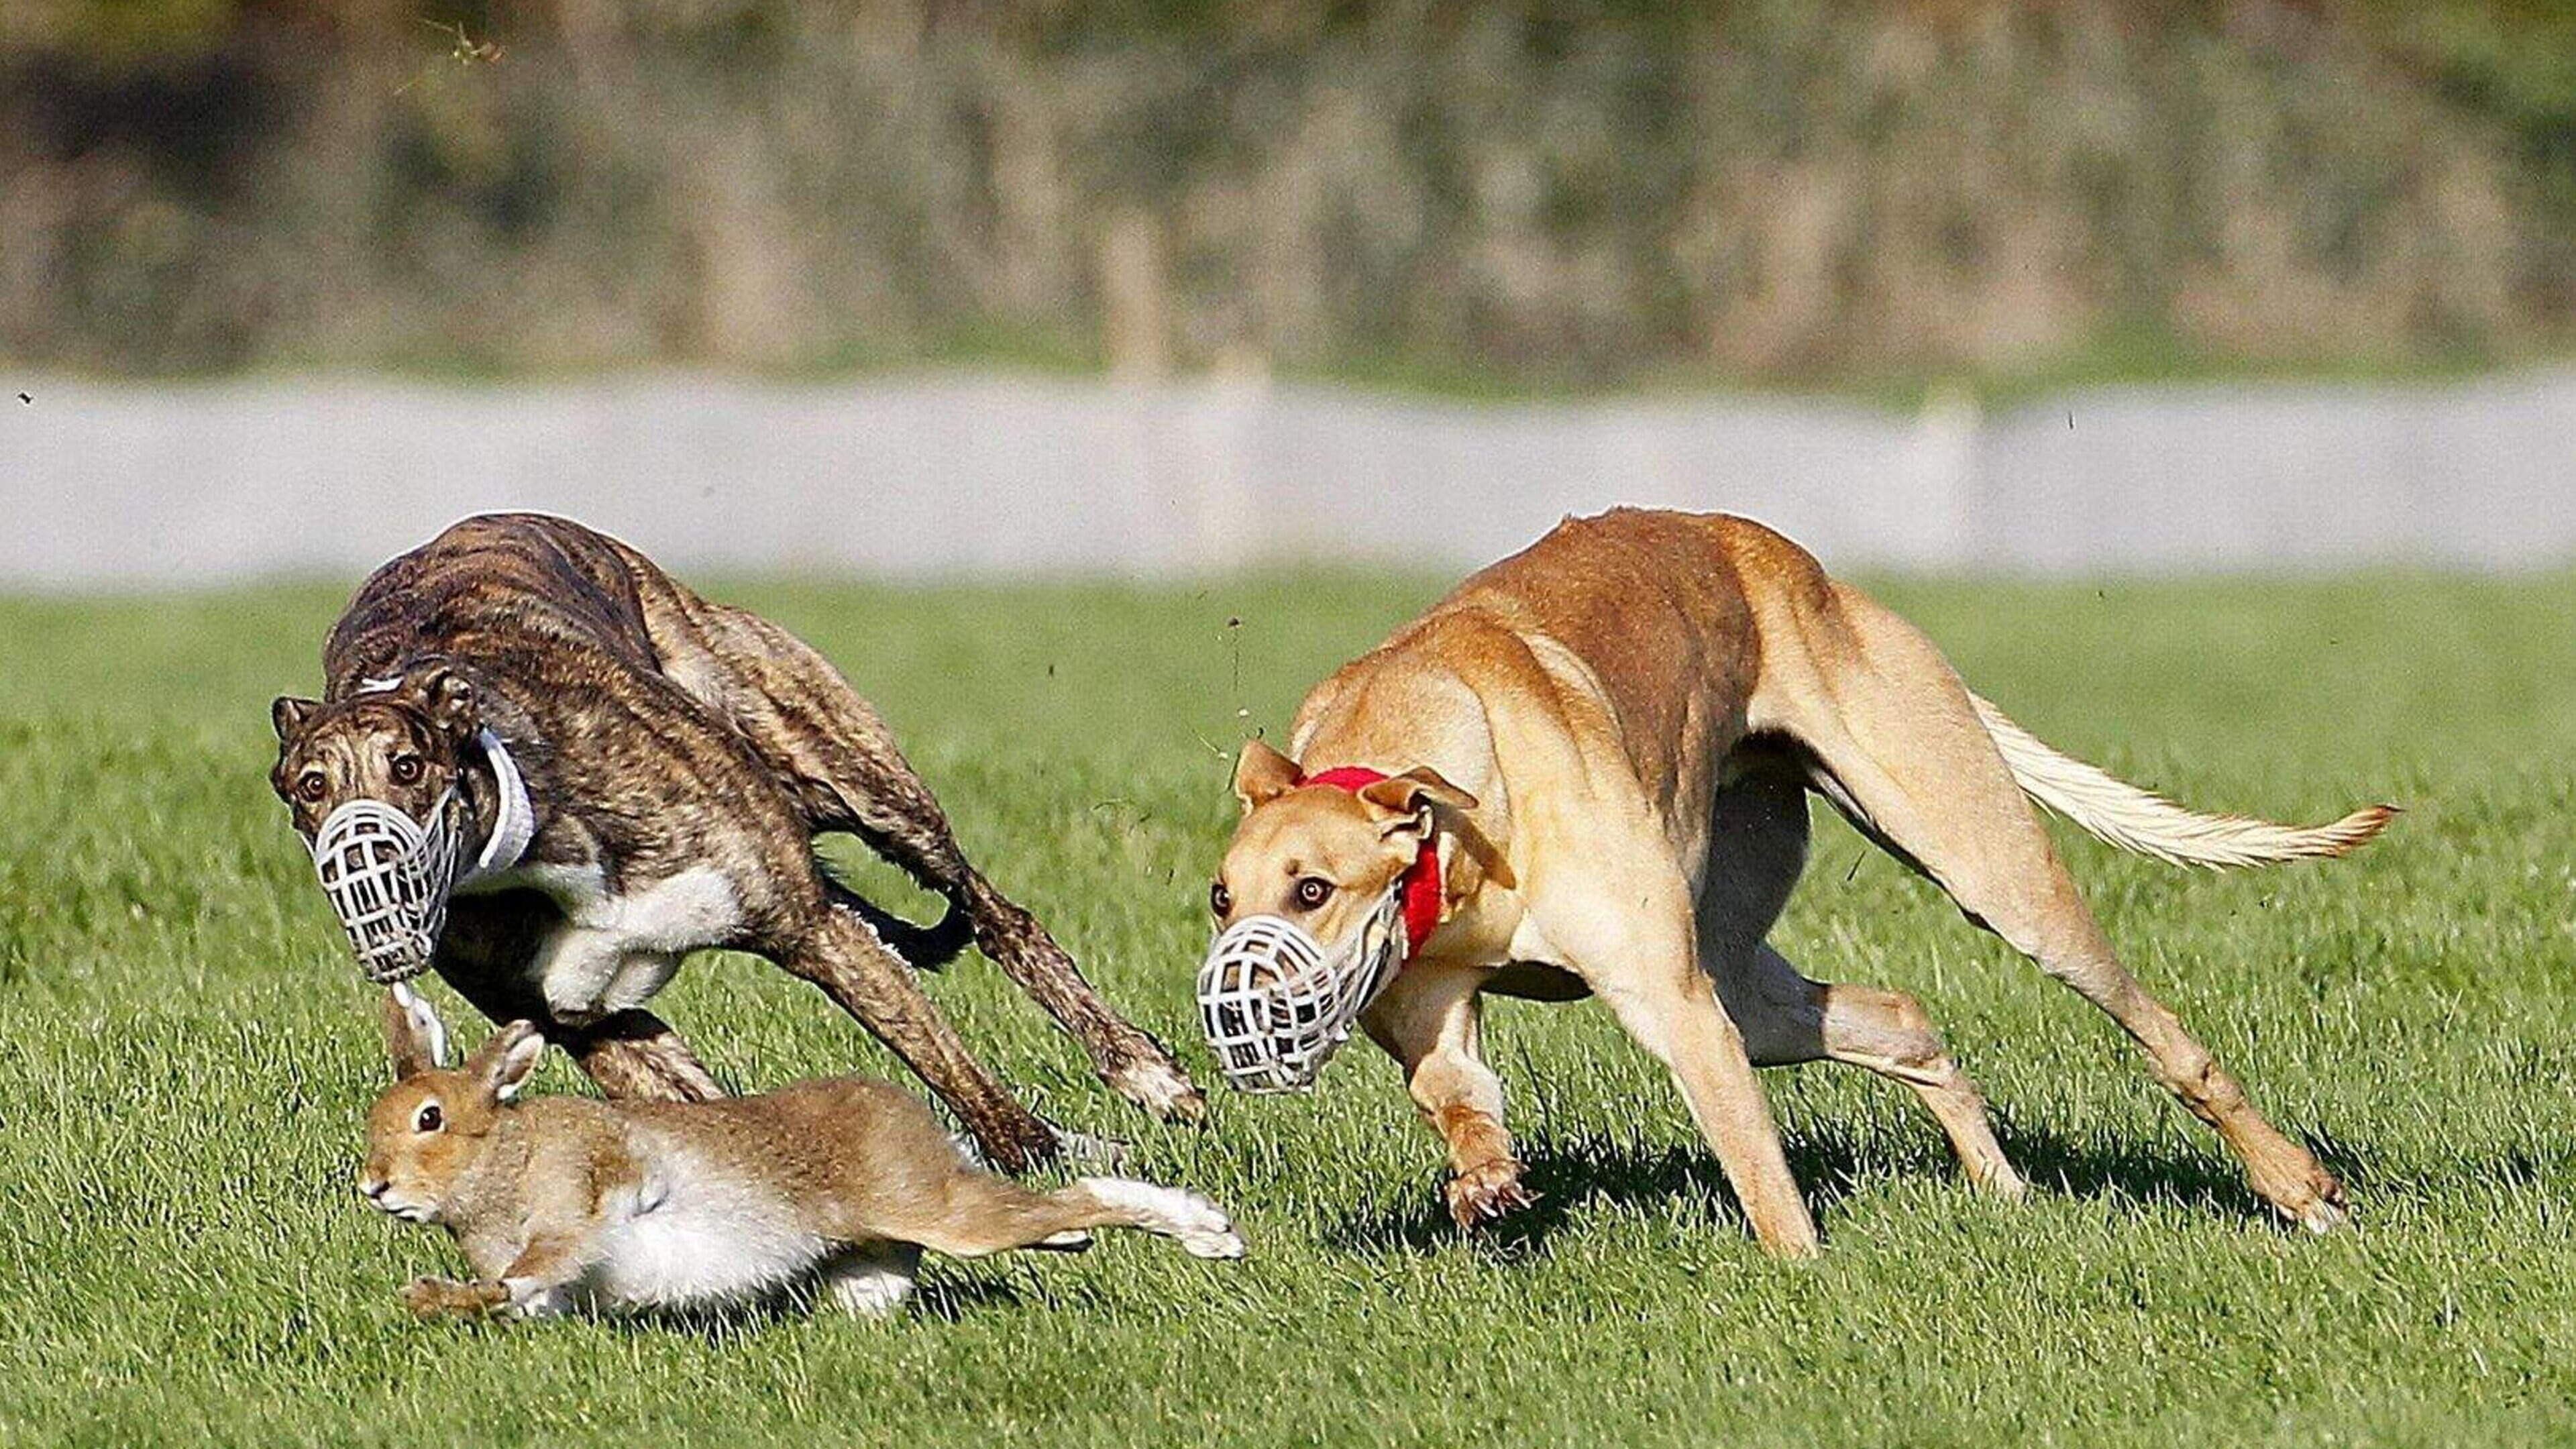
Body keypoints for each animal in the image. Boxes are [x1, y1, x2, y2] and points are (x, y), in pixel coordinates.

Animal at [358, 986, 1245, 1321]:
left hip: (936, 1210)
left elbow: (540, 1258)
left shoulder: (580, 1200)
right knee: (1054, 1215)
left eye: (431, 1119)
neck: (500, 1159)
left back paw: (1213, 1235)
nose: (375, 1187)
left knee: (1083, 1194)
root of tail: (907, 1110)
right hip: (876, 1271)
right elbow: (516, 1292)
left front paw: (433, 1294)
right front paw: (442, 1299)